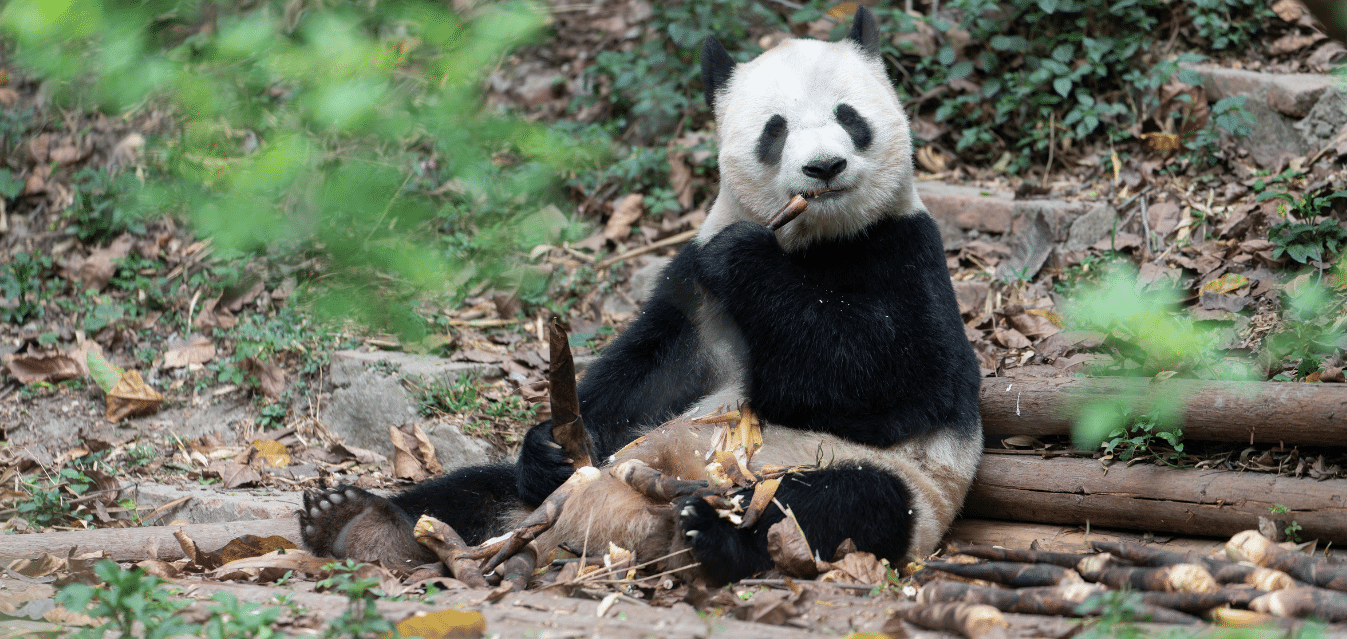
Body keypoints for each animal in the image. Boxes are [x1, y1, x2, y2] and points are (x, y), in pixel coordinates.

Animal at [299, 6, 983, 586]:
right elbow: (651, 372)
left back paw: (711, 532)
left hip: (884, 484)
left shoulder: (904, 252)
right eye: (776, 129)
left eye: (849, 117)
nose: (824, 168)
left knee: (836, 504)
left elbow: (885, 380)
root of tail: (609, 526)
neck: (812, 239)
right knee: (477, 492)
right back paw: (355, 522)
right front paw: (548, 441)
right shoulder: (695, 286)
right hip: (573, 483)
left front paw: (750, 258)